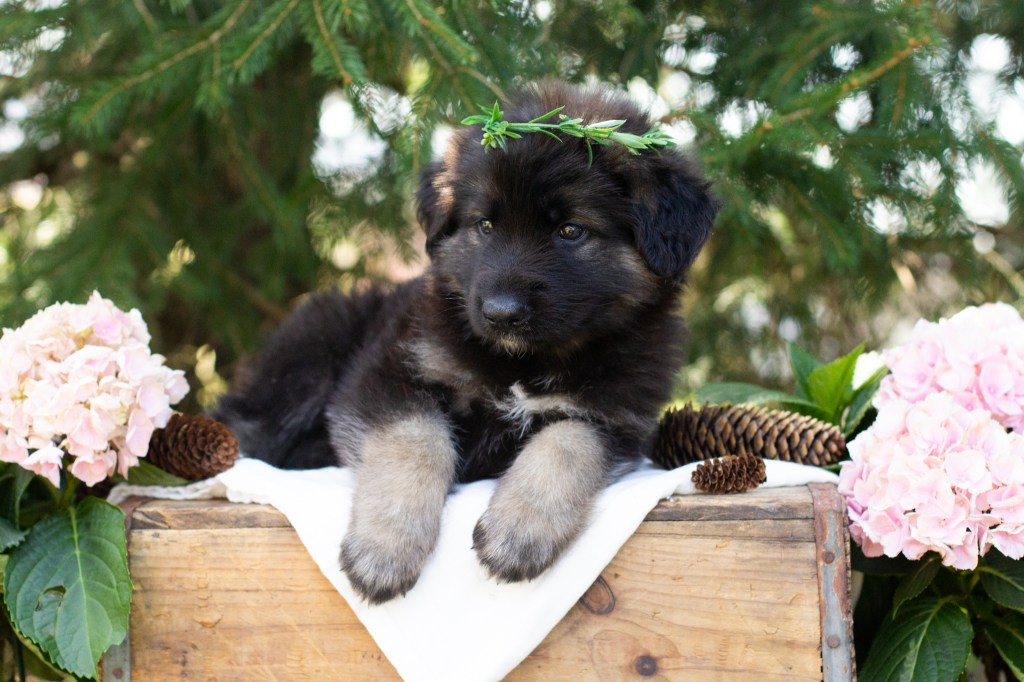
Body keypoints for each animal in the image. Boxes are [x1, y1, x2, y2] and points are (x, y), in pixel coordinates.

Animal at [214, 81, 718, 604]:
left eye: (571, 230)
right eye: (485, 225)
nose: (500, 313)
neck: (527, 363)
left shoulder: (620, 416)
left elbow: (567, 441)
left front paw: (520, 528)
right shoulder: (387, 370)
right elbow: (414, 438)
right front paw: (385, 547)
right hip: (315, 350)